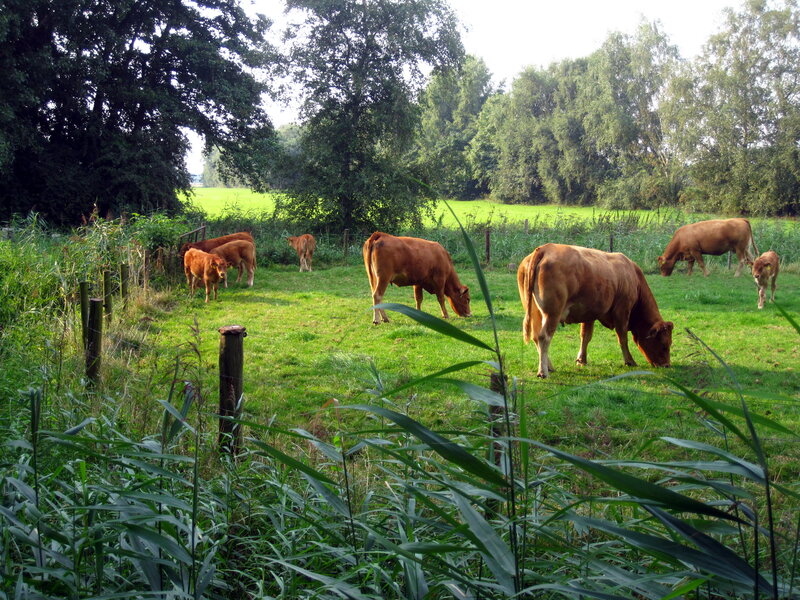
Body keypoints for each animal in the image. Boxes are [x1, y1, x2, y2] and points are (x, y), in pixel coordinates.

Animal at [517, 243, 673, 378]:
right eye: (664, 345)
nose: (666, 365)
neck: (633, 277)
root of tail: (544, 248)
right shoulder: (622, 310)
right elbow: (622, 337)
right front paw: (629, 360)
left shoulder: (589, 314)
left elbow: (586, 336)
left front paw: (582, 360)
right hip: (552, 313)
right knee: (544, 337)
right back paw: (543, 371)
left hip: (535, 312)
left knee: (536, 337)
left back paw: (549, 366)